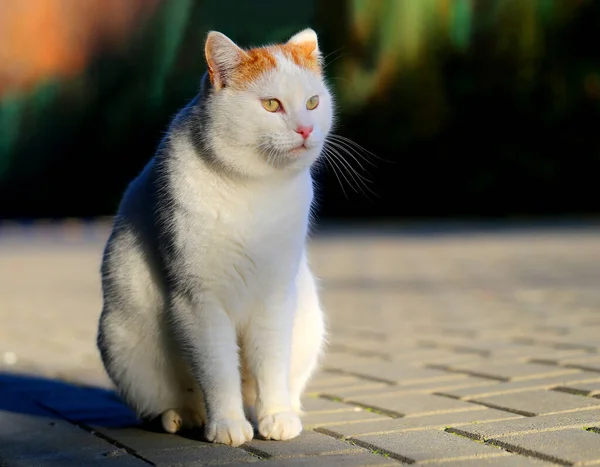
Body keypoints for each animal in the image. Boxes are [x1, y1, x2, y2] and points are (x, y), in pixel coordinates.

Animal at [96, 27, 336, 448]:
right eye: (271, 105)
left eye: (312, 102)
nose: (306, 130)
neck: (255, 189)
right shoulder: (198, 301)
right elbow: (218, 371)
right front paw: (226, 424)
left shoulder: (274, 296)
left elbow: (272, 364)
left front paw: (276, 417)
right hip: (123, 345)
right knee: (170, 400)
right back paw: (183, 417)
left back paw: (289, 409)